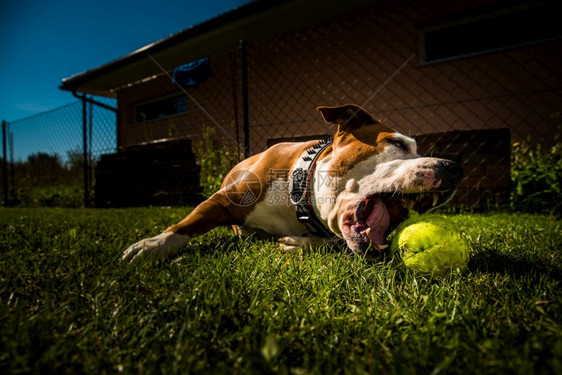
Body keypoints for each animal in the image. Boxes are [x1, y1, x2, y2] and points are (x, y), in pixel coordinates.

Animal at [121, 104, 460, 262]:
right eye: (397, 143)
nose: (455, 168)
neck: (298, 196)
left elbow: (329, 241)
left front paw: (301, 243)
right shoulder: (222, 200)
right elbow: (186, 224)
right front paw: (154, 244)